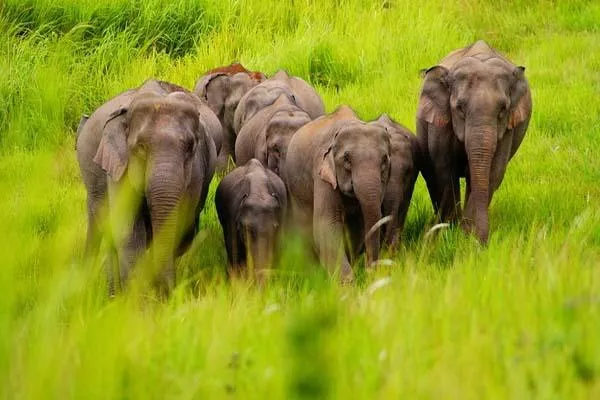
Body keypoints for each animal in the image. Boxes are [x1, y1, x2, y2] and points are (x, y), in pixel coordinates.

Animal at [76, 79, 218, 296]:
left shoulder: (196, 173)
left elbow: (180, 228)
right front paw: (137, 298)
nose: (167, 294)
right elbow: (128, 231)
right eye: (141, 147)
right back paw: (113, 295)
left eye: (189, 147)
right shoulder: (120, 166)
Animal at [286, 106, 394, 282]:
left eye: (384, 159)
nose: (371, 273)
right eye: (347, 158)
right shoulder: (322, 173)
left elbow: (359, 227)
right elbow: (326, 225)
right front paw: (347, 284)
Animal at [414, 40, 532, 242]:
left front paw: (467, 235)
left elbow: (494, 171)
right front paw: (450, 233)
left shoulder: (508, 129)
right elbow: (445, 170)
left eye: (503, 109)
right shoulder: (442, 124)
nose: (484, 243)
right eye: (460, 108)